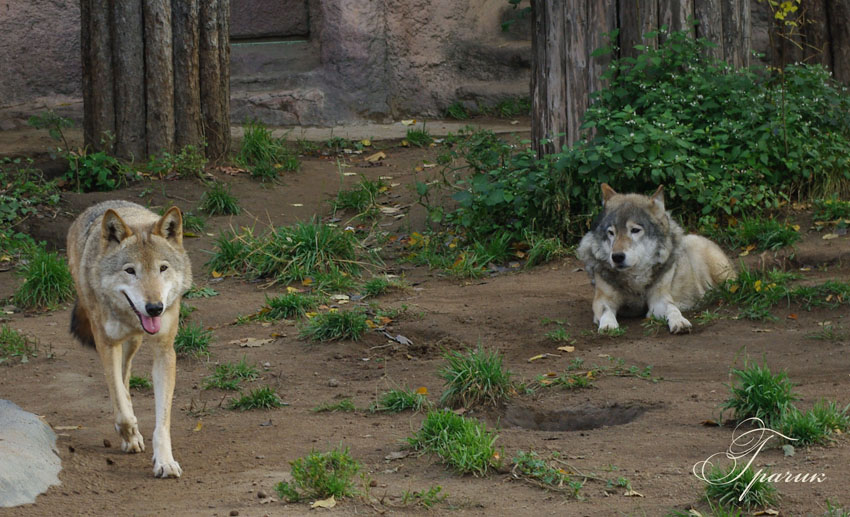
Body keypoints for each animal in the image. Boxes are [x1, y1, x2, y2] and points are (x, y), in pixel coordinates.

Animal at [66, 200, 192, 478]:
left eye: (162, 268)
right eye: (130, 271)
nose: (155, 308)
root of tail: (103, 204)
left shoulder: (165, 351)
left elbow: (162, 421)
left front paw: (165, 461)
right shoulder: (106, 344)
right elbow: (119, 401)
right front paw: (130, 431)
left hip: (133, 343)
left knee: (125, 374)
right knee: (120, 386)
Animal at [576, 183, 736, 332]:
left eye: (635, 230)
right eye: (611, 232)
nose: (617, 257)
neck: (635, 279)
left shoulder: (660, 300)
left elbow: (673, 308)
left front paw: (680, 321)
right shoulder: (602, 300)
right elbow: (606, 311)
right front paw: (608, 325)